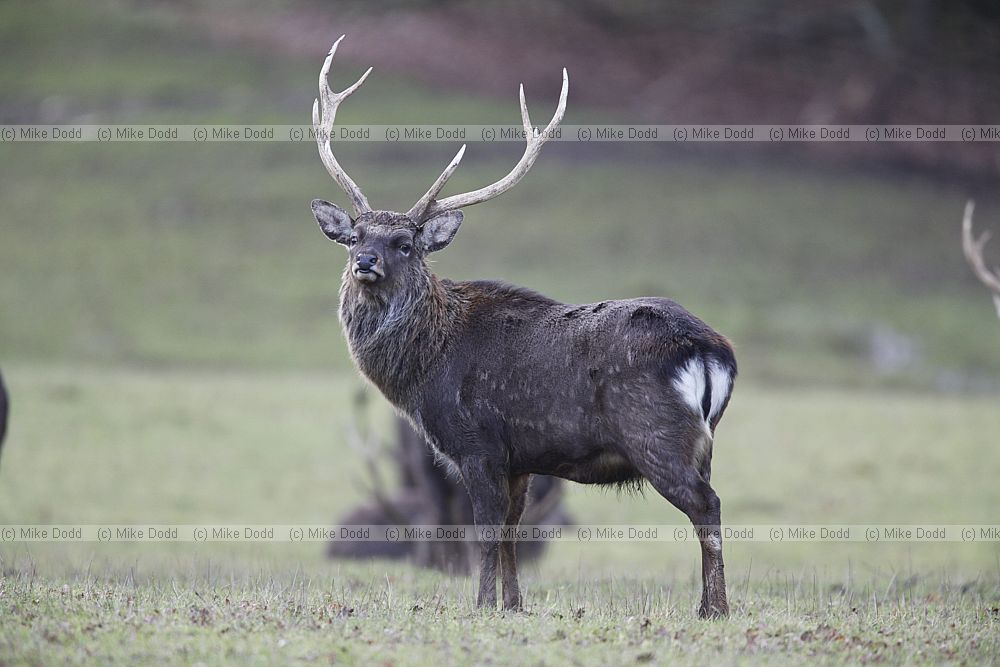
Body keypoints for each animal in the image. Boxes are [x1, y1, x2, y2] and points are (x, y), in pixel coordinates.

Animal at [308, 36, 737, 617]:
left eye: (406, 244)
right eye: (355, 236)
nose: (365, 263)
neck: (424, 369)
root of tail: (713, 351)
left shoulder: (478, 443)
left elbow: (486, 531)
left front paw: (481, 604)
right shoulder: (521, 457)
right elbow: (511, 529)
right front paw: (513, 604)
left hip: (656, 434)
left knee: (706, 506)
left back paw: (714, 608)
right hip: (702, 444)